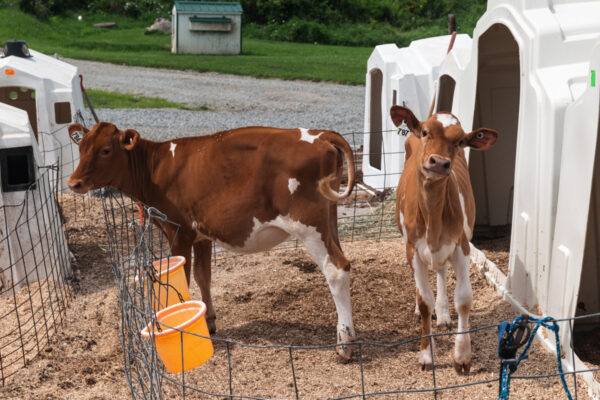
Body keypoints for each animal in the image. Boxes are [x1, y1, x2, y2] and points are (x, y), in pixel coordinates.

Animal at [65, 122, 356, 360]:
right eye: (81, 147)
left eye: (105, 150)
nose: (73, 182)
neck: (154, 168)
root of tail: (319, 135)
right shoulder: (202, 235)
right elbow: (203, 276)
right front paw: (209, 321)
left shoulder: (178, 230)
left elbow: (181, 277)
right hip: (329, 218)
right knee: (344, 262)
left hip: (307, 224)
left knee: (336, 270)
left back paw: (345, 344)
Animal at [392, 105, 500, 372]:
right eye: (425, 132)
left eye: (460, 141)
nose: (439, 162)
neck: (432, 217)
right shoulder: (412, 249)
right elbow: (424, 302)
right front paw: (426, 354)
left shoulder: (462, 246)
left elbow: (463, 299)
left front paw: (462, 356)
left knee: (440, 271)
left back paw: (442, 314)